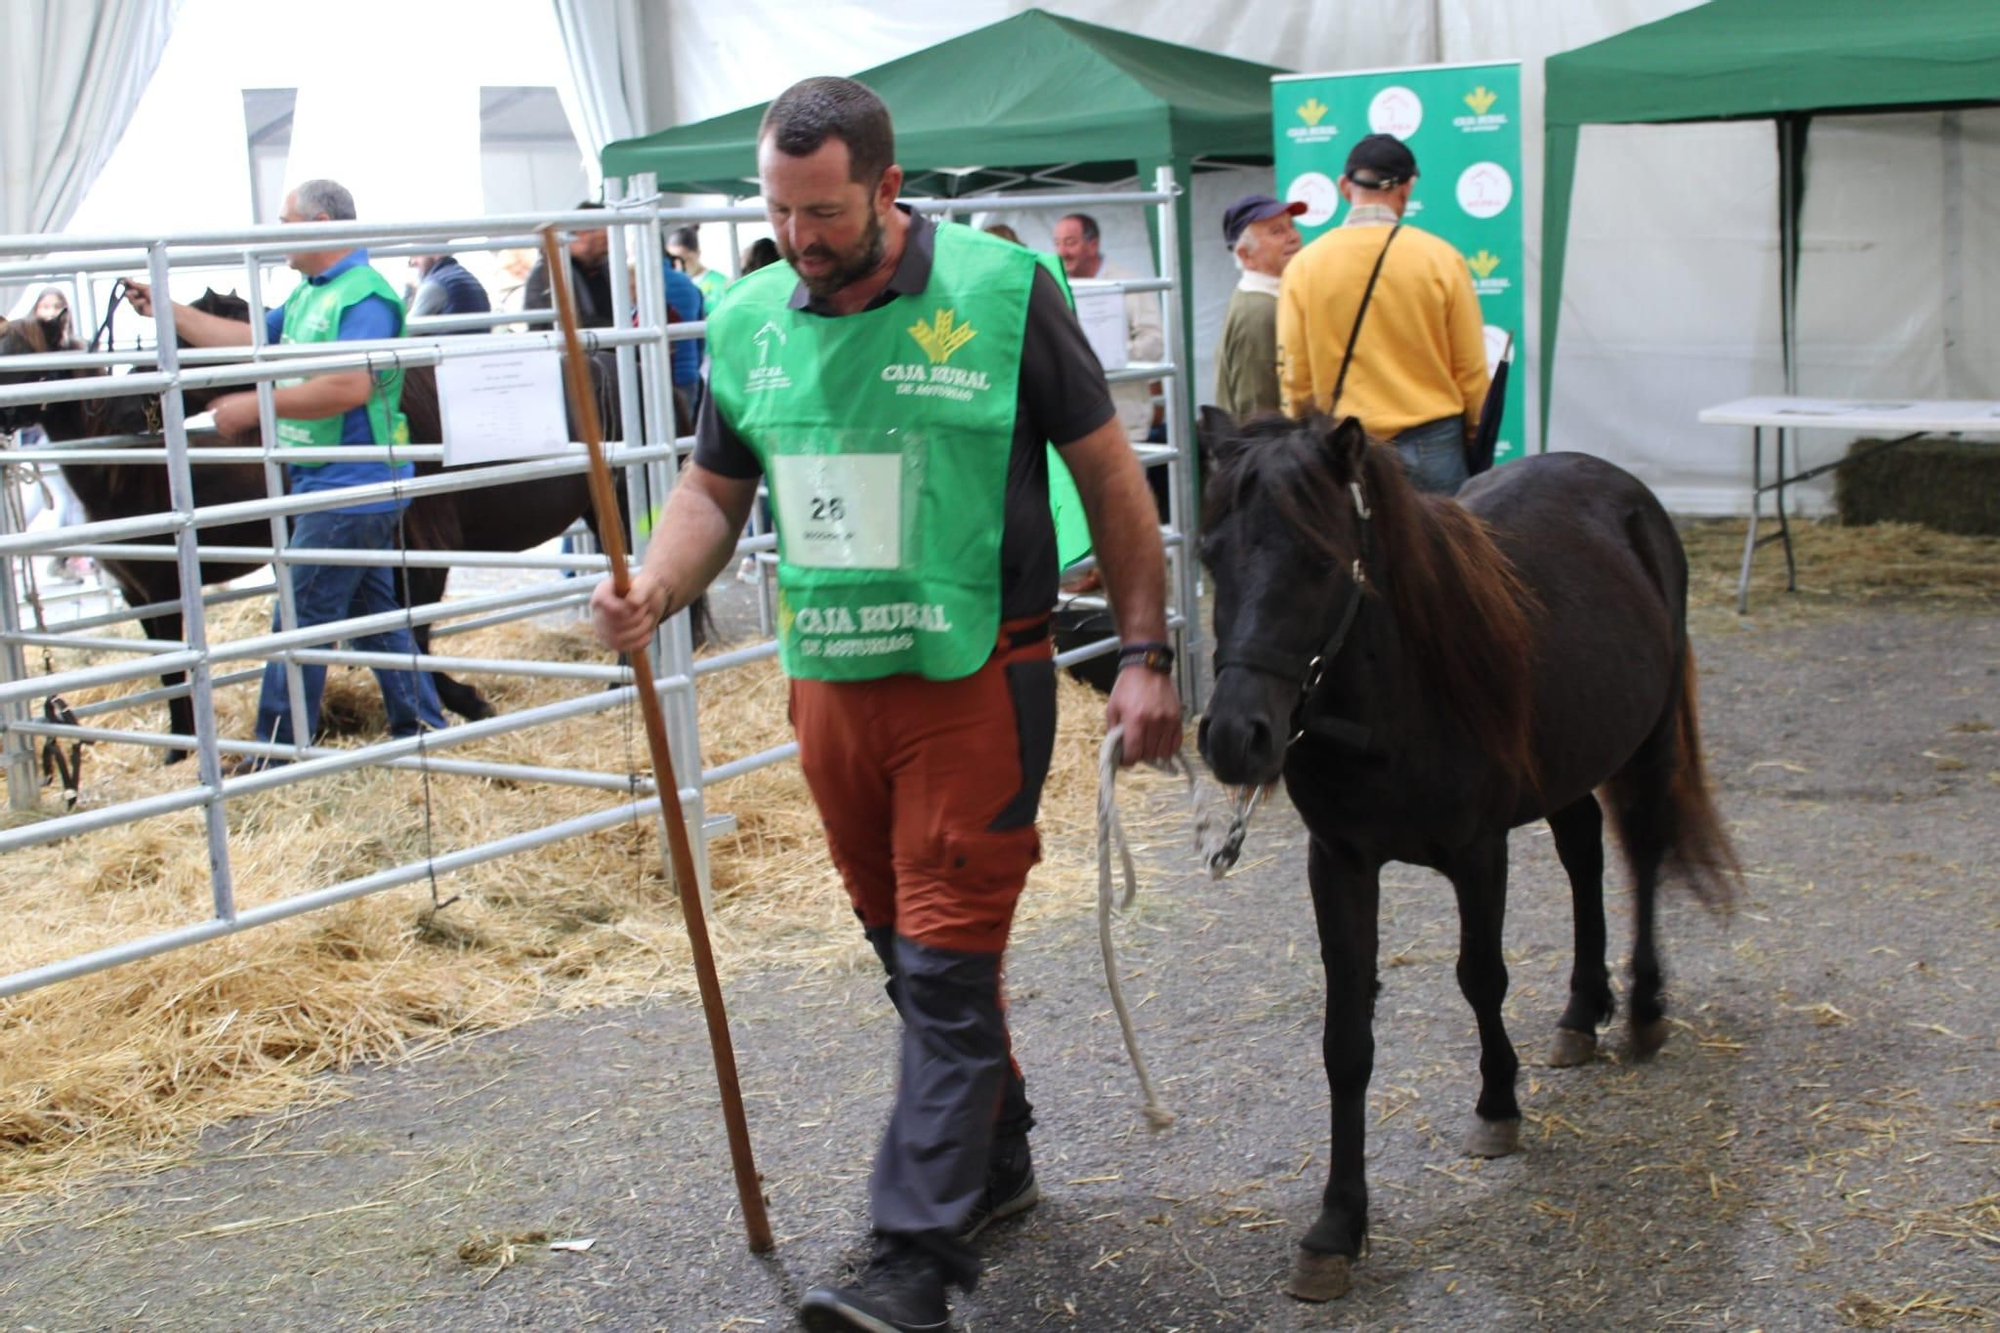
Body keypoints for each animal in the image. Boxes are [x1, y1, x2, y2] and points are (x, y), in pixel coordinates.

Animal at [1192, 408, 1744, 1296]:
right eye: (1210, 556)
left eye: (1320, 559)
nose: (1237, 737)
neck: (1395, 698)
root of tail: (1627, 493)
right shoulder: (1339, 863)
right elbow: (1345, 1038)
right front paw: (1337, 1224)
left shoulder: (1479, 853)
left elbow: (1481, 977)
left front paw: (1496, 1107)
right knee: (1584, 852)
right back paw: (1582, 1010)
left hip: (1650, 739)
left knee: (1643, 854)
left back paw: (1644, 1007)